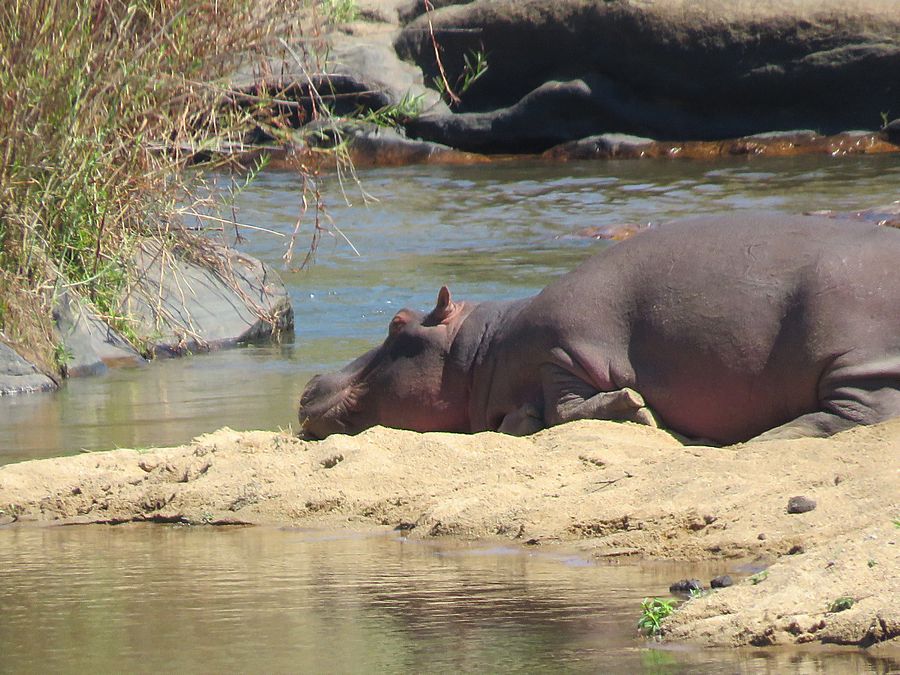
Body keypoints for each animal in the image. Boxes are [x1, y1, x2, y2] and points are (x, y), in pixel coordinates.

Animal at [299, 213, 900, 444]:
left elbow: (568, 407)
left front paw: (636, 409)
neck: (481, 351)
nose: (309, 383)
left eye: (397, 323)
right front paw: (518, 418)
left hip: (851, 352)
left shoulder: (565, 350)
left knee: (857, 413)